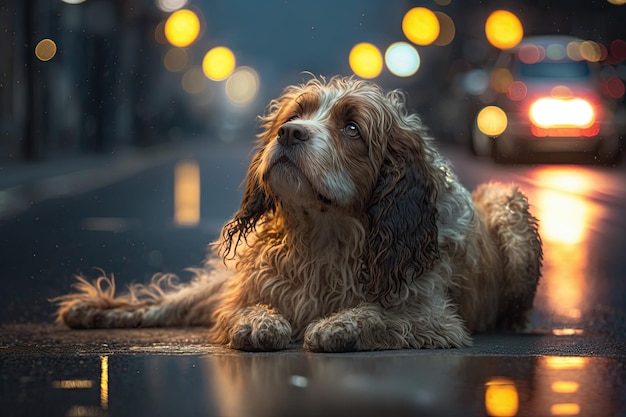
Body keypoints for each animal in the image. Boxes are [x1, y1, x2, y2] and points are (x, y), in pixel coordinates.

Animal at [53, 75, 540, 352]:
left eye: (352, 128)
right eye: (296, 113)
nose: (288, 133)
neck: (325, 233)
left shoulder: (435, 319)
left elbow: (381, 315)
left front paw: (338, 326)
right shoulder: (248, 289)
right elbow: (241, 309)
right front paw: (262, 323)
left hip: (509, 205)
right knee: (176, 302)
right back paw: (99, 310)